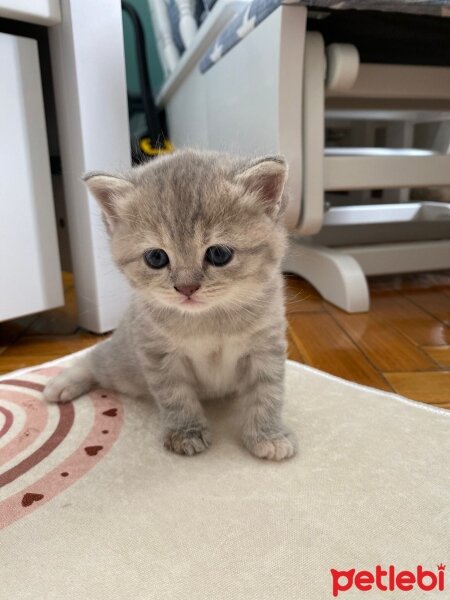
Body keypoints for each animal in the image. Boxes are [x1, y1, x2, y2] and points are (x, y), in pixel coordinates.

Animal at [44, 149, 298, 460]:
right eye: (156, 258)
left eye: (219, 254)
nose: (186, 288)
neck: (209, 320)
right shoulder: (159, 355)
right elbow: (176, 396)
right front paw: (186, 432)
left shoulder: (266, 348)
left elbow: (267, 393)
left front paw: (268, 434)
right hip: (122, 367)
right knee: (92, 358)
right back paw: (63, 383)